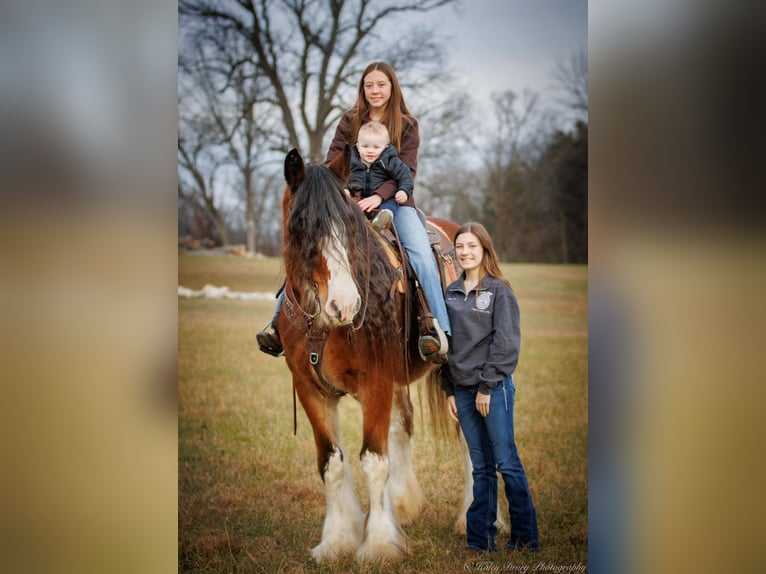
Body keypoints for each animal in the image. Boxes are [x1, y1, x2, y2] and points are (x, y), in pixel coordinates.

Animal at [280, 145, 462, 564]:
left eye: (349, 228)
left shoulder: (376, 383)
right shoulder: (310, 389)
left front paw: (378, 544)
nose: (345, 305)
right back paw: (404, 505)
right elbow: (331, 463)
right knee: (403, 425)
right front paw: (336, 541)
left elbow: (374, 462)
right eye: (302, 228)